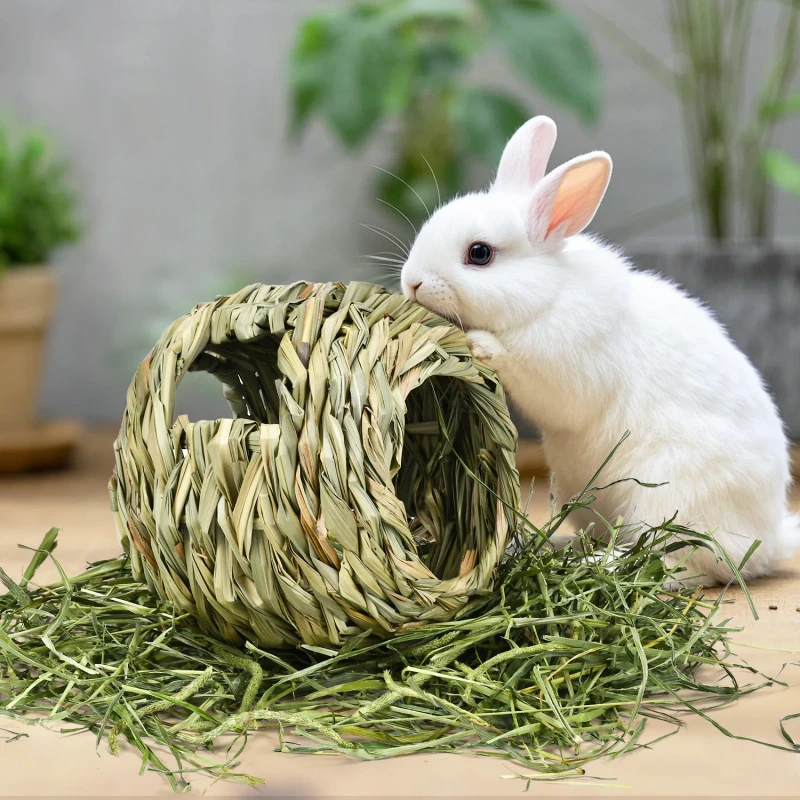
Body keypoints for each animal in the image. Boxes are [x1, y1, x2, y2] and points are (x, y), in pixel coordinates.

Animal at [400, 114, 800, 587]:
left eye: (479, 254)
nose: (411, 282)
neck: (548, 294)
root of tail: (769, 539)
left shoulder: (563, 373)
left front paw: (480, 343)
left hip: (668, 498)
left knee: (675, 563)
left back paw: (597, 564)